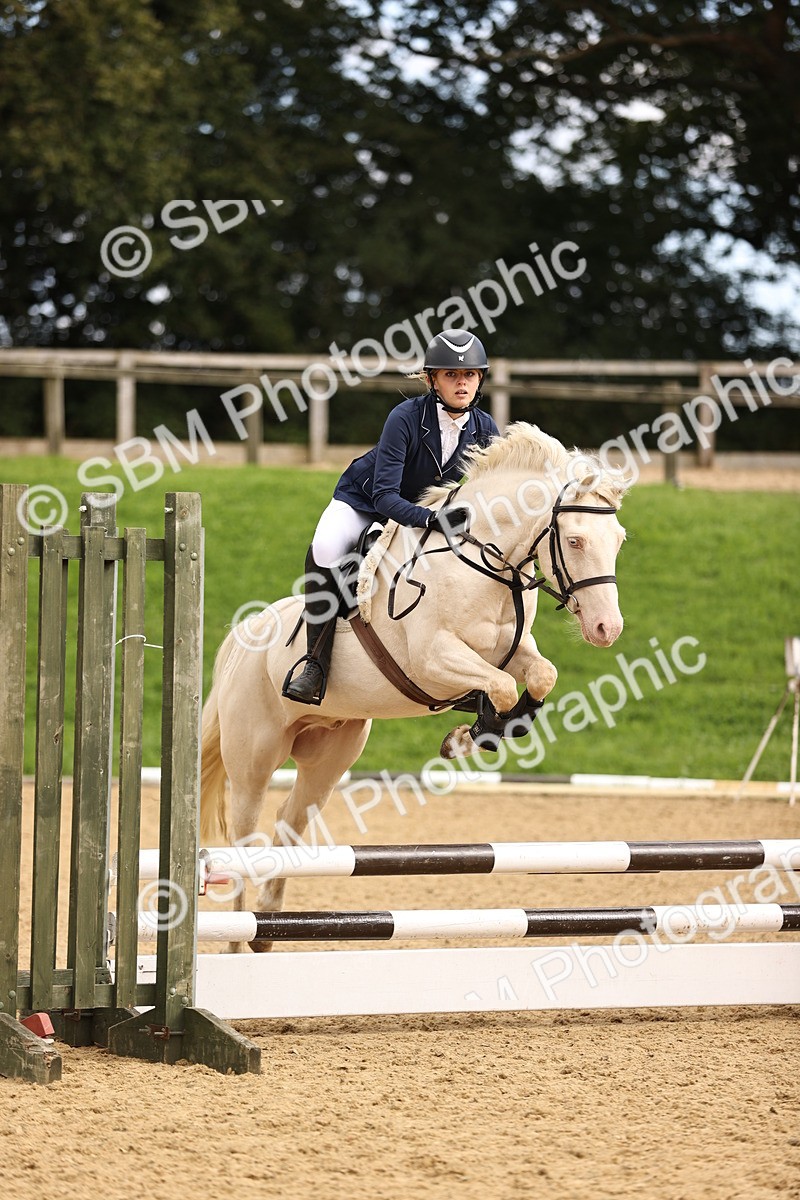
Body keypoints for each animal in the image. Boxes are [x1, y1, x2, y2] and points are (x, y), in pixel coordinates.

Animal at [199, 423, 629, 950]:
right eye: (575, 540)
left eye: (619, 540)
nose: (607, 628)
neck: (482, 563)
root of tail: (243, 636)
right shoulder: (433, 658)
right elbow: (503, 688)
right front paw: (473, 732)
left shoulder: (511, 650)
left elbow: (537, 676)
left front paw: (478, 733)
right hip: (254, 758)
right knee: (245, 836)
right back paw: (238, 939)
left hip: (329, 756)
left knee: (288, 823)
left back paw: (267, 928)